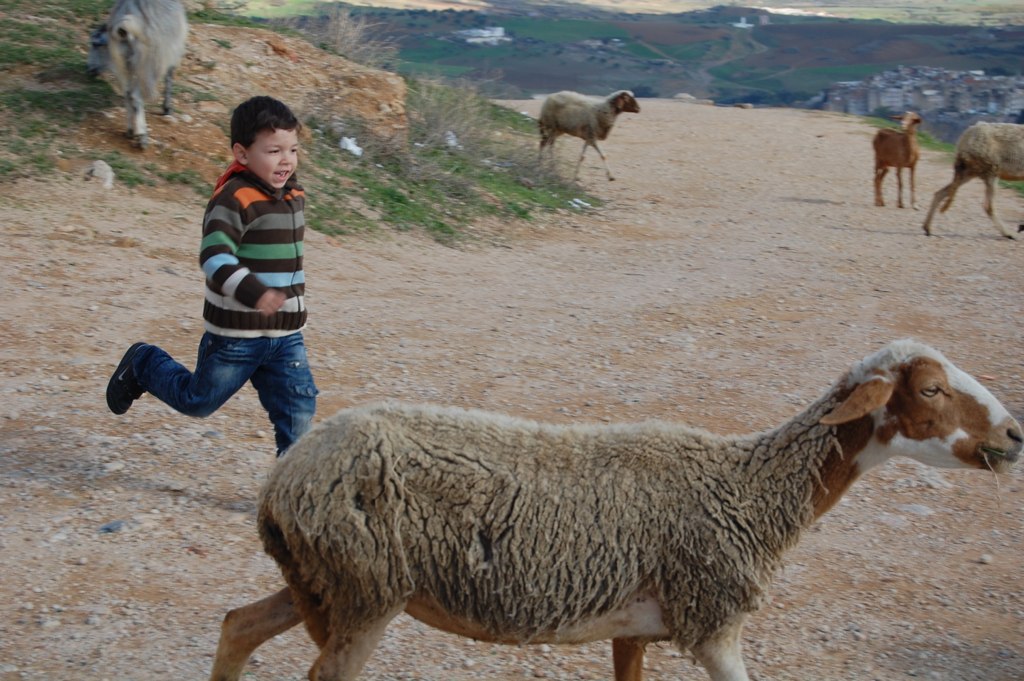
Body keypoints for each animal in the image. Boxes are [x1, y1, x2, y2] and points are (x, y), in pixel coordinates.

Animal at [88, 0, 188, 148]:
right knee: (136, 96)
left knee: (129, 94)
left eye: (95, 45)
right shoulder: (170, 52)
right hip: (147, 62)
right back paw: (142, 136)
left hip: (124, 61)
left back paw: (130, 131)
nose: (89, 70)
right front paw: (167, 108)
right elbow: (169, 76)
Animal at [205, 339, 1015, 679]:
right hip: (366, 589)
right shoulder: (712, 619)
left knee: (238, 624)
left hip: (329, 582)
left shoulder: (638, 629)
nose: (1013, 436)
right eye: (931, 389)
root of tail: (283, 482)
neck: (750, 489)